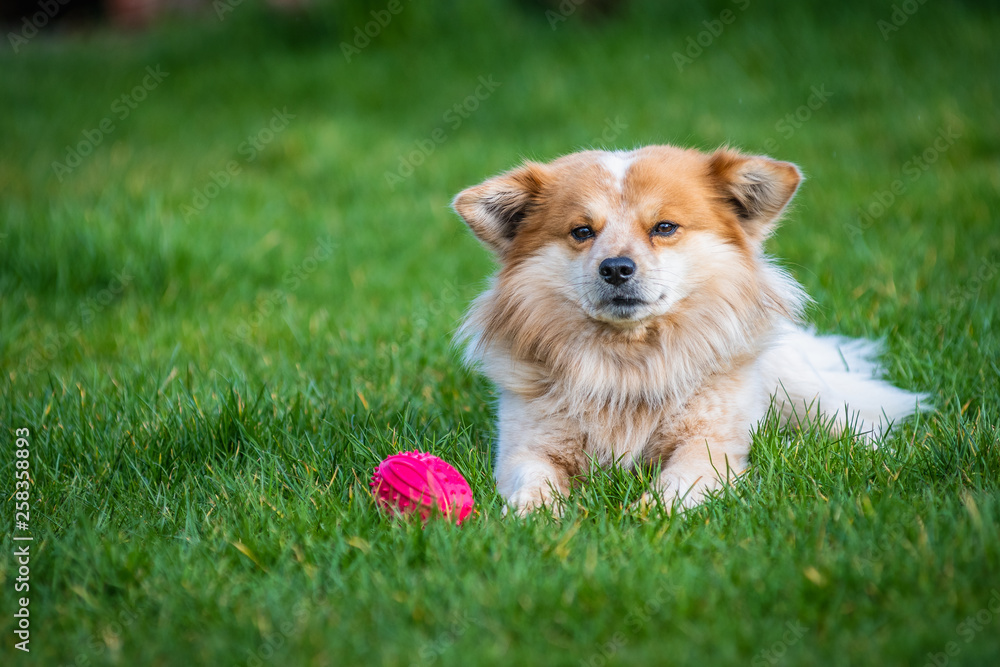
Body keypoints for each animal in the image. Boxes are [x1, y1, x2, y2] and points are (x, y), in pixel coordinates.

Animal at [454, 144, 928, 516]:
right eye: (582, 231)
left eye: (664, 227)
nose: (616, 268)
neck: (630, 363)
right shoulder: (526, 446)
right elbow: (532, 480)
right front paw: (533, 516)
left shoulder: (708, 441)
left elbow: (680, 482)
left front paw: (649, 513)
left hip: (804, 395)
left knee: (853, 420)